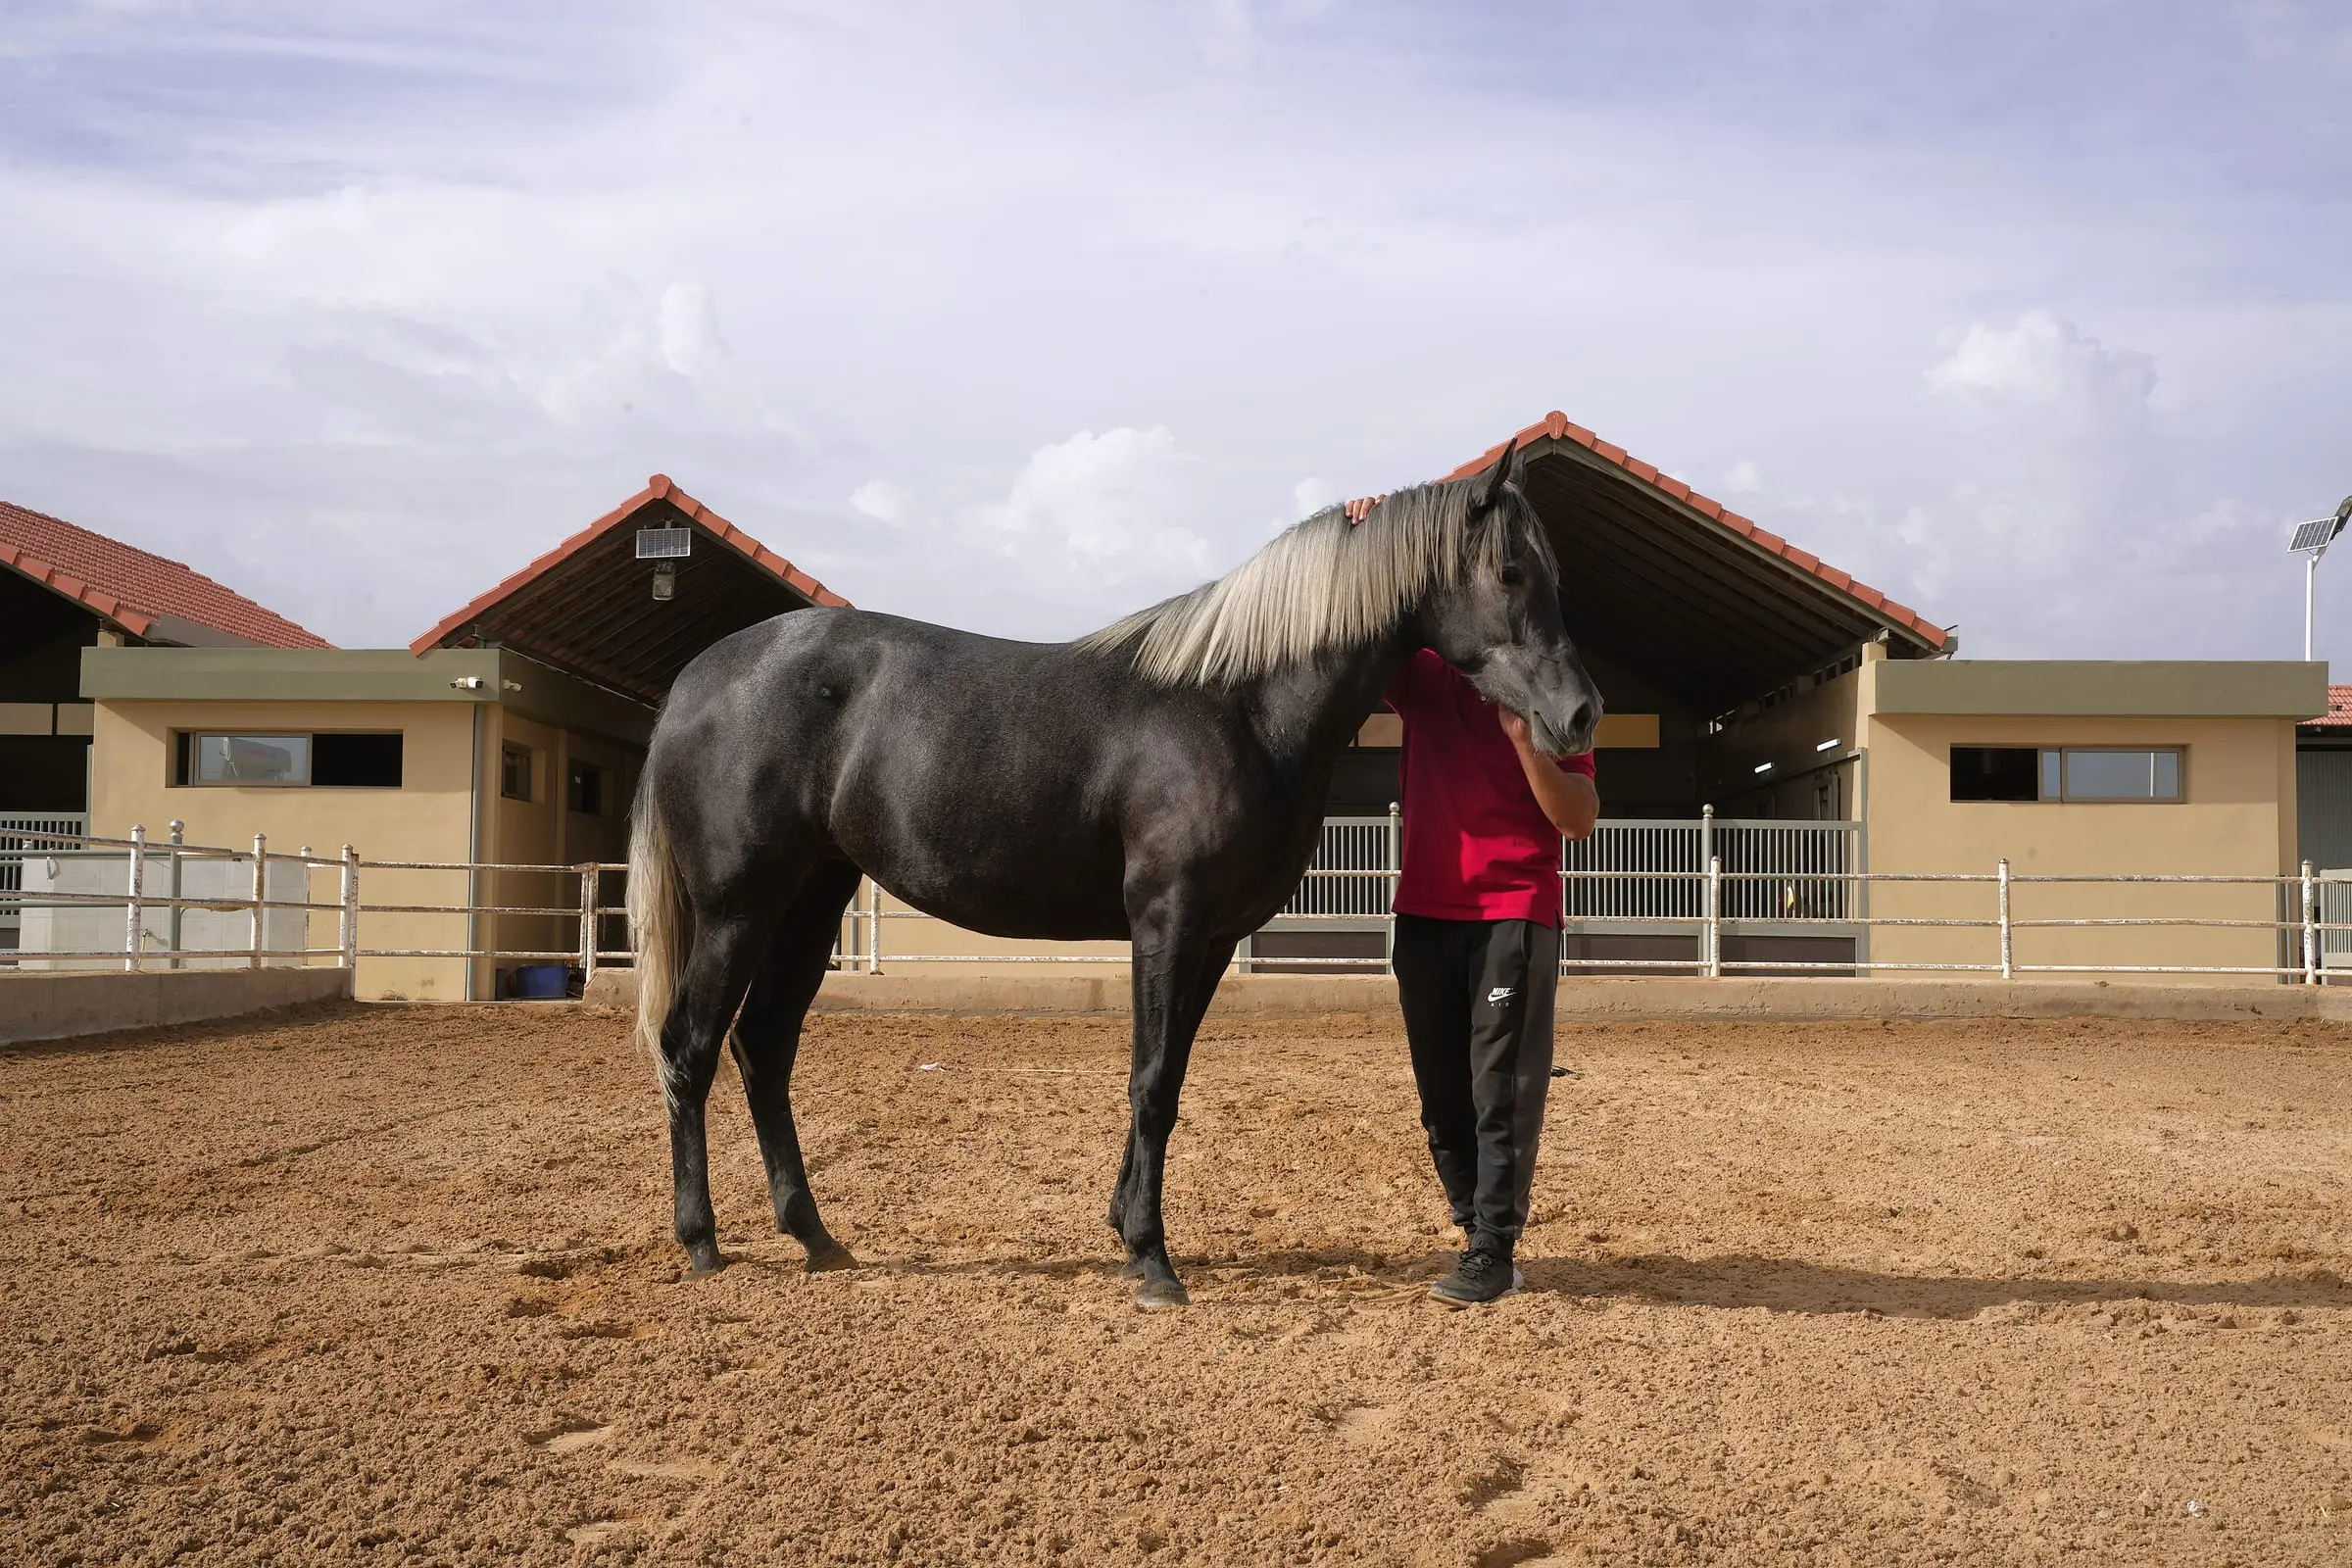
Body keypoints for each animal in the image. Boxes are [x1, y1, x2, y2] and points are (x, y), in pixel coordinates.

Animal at [625, 441, 1602, 1308]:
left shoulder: (1212, 940)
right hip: (738, 910)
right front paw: (1154, 1262)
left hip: (809, 903)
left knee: (764, 1048)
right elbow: (1152, 1082)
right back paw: (703, 1242)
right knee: (692, 1046)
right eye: (1510, 572)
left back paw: (817, 1237)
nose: (1581, 713)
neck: (1237, 703)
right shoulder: (1167, 922)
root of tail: (694, 680)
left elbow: (1165, 1078)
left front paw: (1129, 1234)